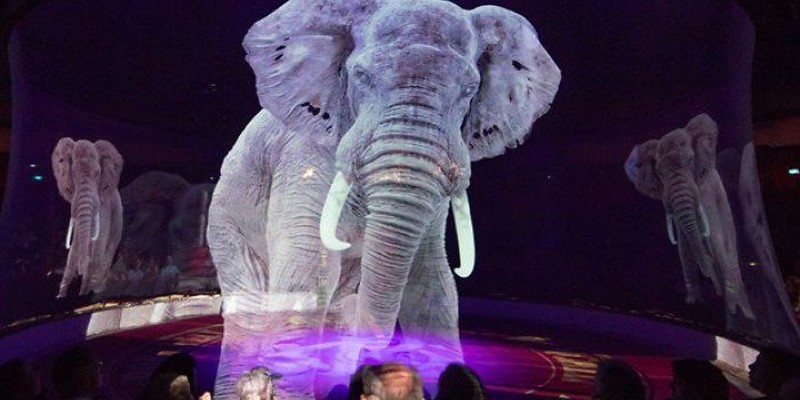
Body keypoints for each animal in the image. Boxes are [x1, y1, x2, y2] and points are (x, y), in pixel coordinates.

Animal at [51, 138, 124, 298]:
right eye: (73, 174)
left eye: (98, 174)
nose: (80, 273)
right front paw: (61, 295)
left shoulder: (104, 202)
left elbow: (100, 236)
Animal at [207, 0, 560, 397]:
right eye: (360, 76)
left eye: (470, 88)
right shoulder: (302, 158)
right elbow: (309, 274)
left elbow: (433, 285)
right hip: (226, 221)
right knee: (253, 312)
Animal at [624, 114, 754, 321]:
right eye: (660, 173)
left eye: (690, 161)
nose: (715, 289)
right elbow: (684, 244)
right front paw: (693, 302)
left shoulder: (706, 190)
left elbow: (713, 235)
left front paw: (731, 305)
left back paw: (745, 311)